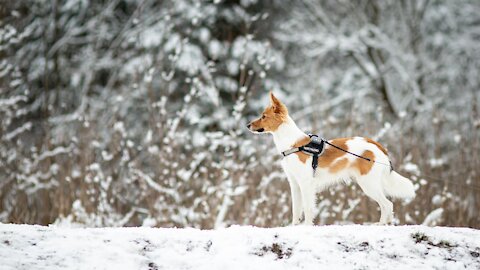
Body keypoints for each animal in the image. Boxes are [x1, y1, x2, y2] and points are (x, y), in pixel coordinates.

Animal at [246, 93, 414, 226]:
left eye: (263, 116)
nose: (247, 125)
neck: (293, 144)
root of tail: (378, 145)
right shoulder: (294, 184)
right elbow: (296, 210)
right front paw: (294, 227)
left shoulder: (306, 183)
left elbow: (307, 208)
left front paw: (307, 227)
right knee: (387, 205)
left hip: (368, 184)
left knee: (387, 204)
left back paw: (381, 224)